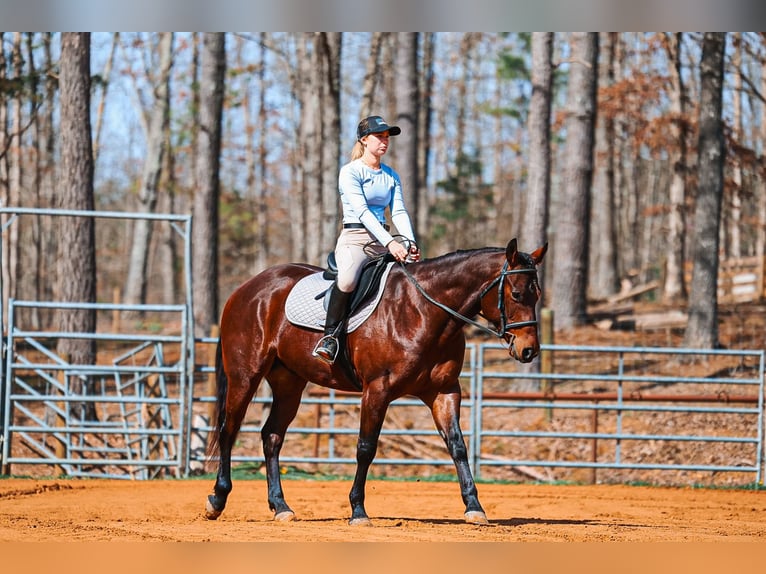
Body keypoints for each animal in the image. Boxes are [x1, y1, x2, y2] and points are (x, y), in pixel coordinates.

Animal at [205, 238, 547, 525]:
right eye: (516, 294)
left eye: (538, 295)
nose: (529, 350)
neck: (423, 311)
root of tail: (248, 287)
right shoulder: (376, 391)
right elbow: (366, 448)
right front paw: (358, 511)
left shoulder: (444, 391)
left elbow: (457, 445)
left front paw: (474, 507)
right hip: (245, 376)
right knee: (229, 430)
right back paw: (217, 500)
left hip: (289, 384)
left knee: (272, 436)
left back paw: (281, 507)